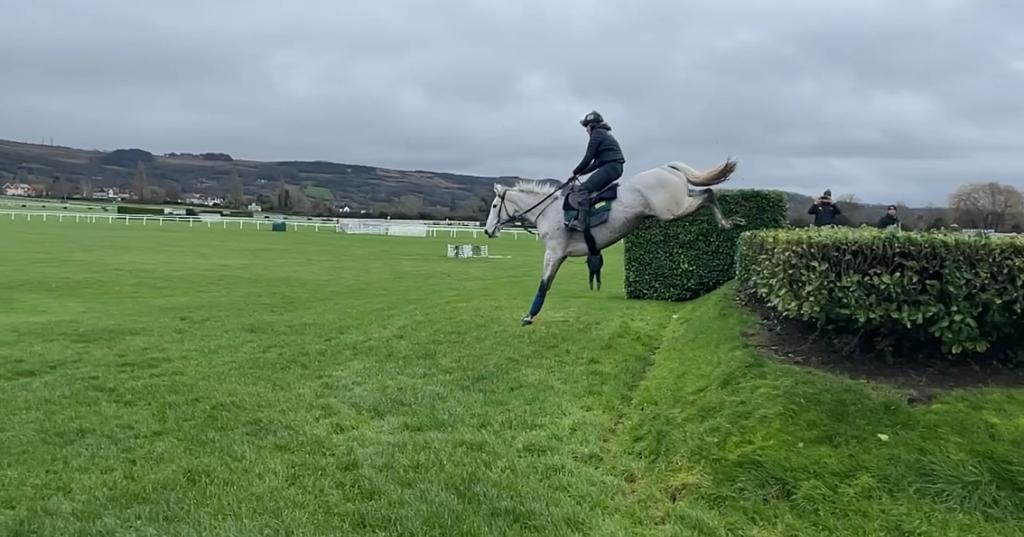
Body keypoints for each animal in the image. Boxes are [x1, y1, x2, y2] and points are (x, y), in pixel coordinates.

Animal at [483, 158, 741, 327]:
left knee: (708, 194)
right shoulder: (560, 256)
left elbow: (543, 284)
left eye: (495, 205)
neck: (548, 212)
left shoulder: (553, 253)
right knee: (706, 193)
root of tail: (666, 168)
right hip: (680, 202)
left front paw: (529, 316)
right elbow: (548, 283)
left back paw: (726, 222)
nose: (487, 231)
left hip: (673, 210)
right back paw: (730, 221)